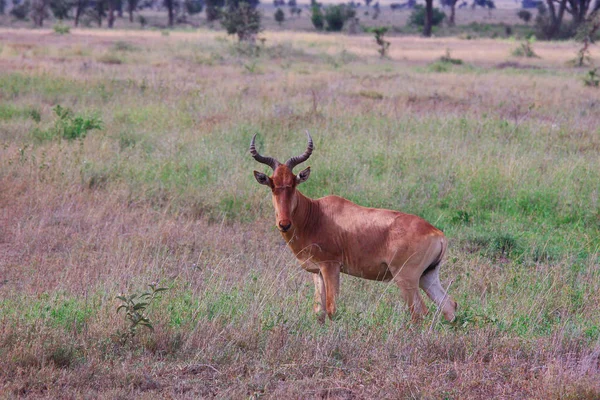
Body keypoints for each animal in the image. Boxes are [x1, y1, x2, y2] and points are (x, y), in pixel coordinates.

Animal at [251, 133, 458, 324]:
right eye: (272, 185)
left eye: (293, 183)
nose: (284, 224)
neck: (316, 215)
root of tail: (438, 234)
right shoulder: (317, 272)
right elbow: (319, 312)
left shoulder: (331, 266)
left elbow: (332, 308)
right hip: (427, 276)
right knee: (449, 305)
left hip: (406, 278)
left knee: (420, 313)